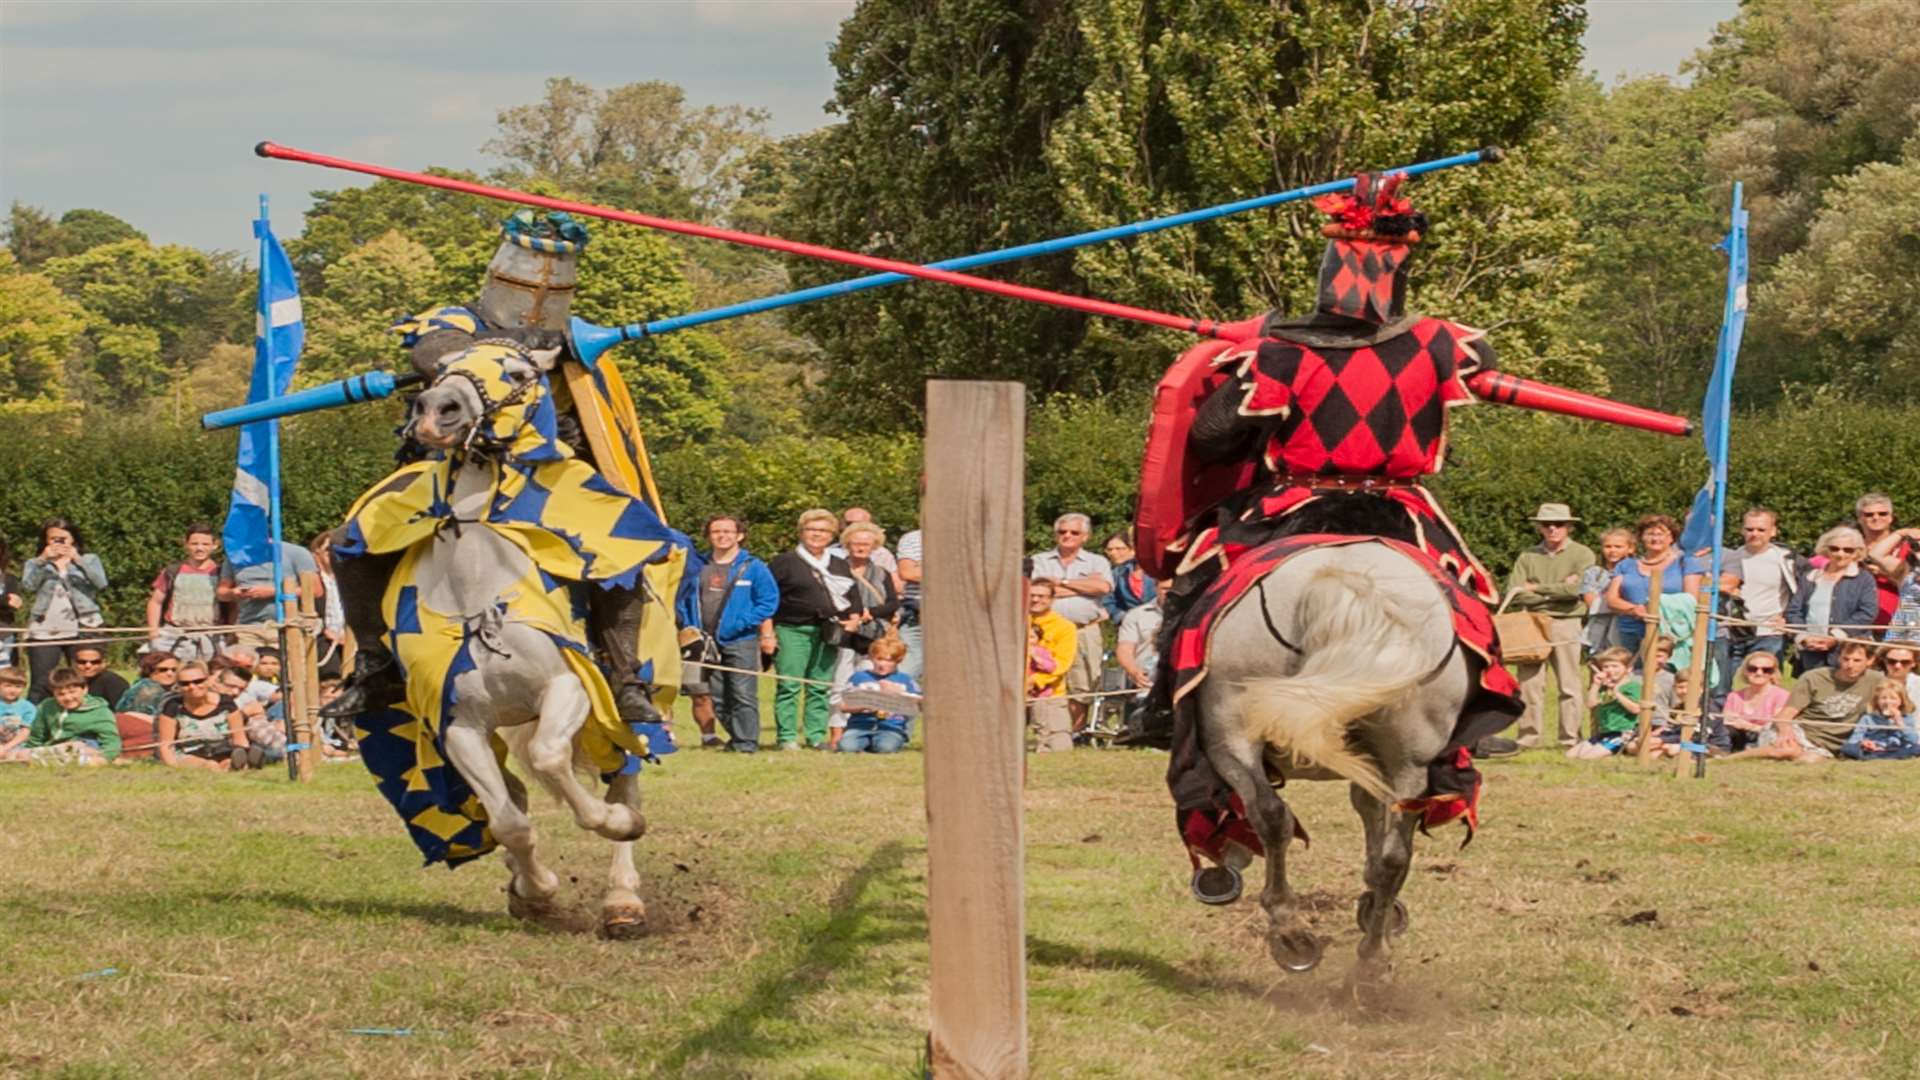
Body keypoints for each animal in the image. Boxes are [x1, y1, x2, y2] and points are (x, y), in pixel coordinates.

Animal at [1190, 534, 1474, 972]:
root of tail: (1346, 586)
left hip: (1230, 733)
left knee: (1271, 815)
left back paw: (1292, 932)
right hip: (1408, 761)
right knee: (1394, 855)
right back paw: (1370, 960)